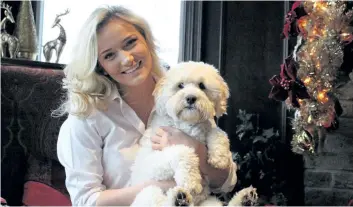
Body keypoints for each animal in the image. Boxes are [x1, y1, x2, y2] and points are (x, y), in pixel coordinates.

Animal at [129, 60, 256, 206]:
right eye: (180, 85)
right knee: (160, 200)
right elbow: (183, 151)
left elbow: (218, 132)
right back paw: (179, 198)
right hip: (148, 191)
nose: (190, 98)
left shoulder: (208, 127)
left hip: (210, 201)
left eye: (202, 86)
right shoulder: (150, 162)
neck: (187, 123)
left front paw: (220, 157)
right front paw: (191, 180)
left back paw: (245, 198)